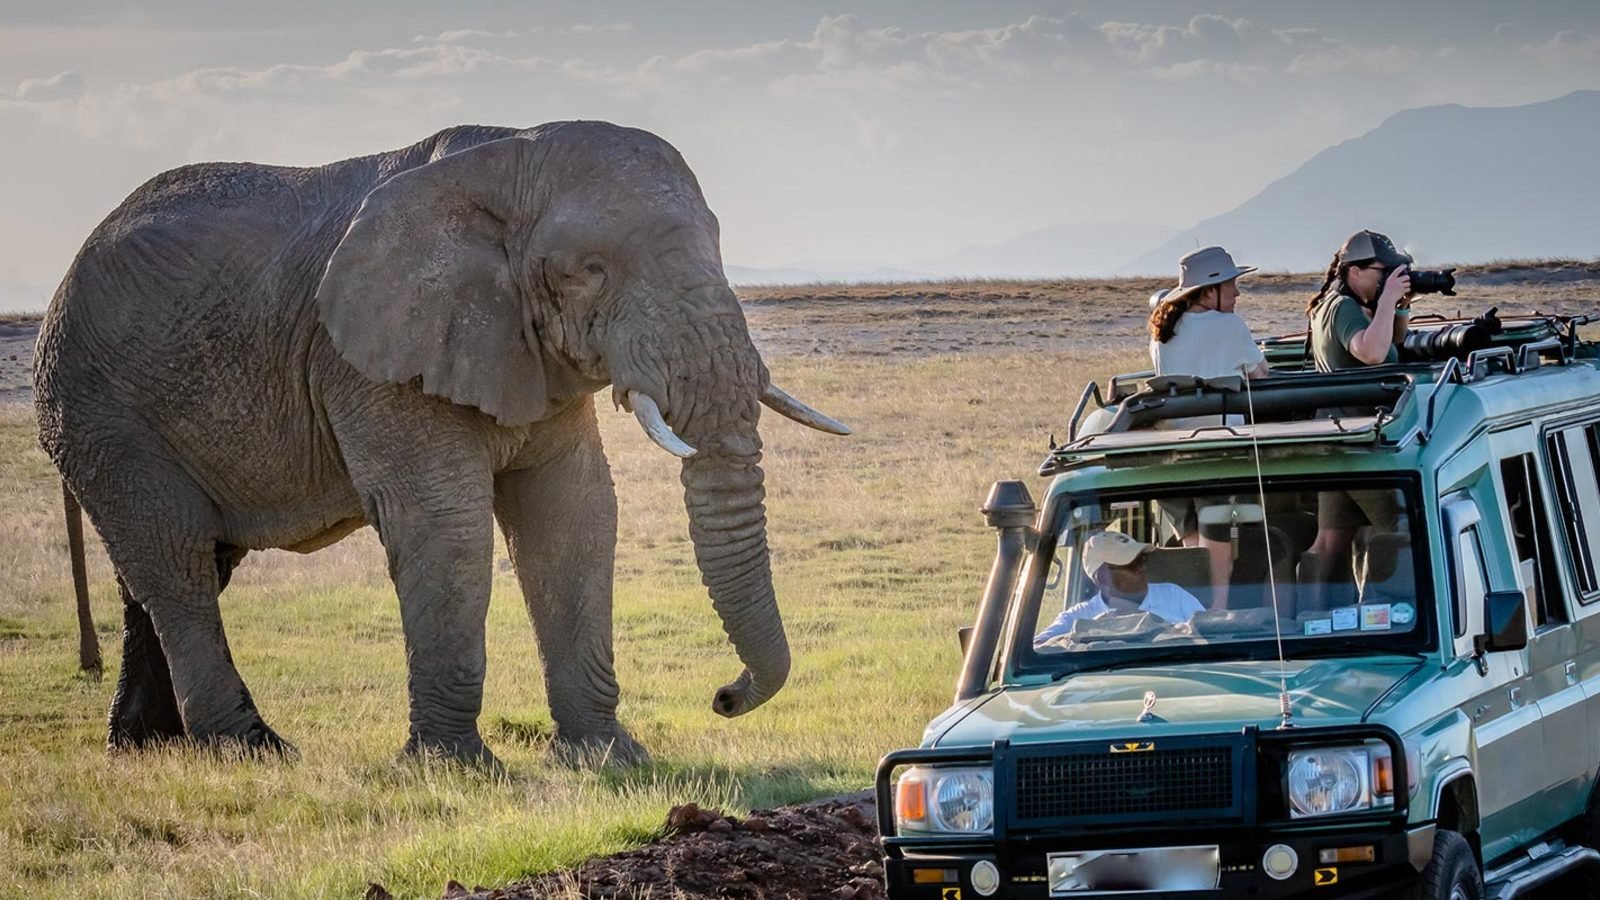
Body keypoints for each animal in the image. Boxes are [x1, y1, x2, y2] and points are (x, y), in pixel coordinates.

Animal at [33, 121, 848, 766]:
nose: (724, 696)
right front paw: (455, 768)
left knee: (183, 564)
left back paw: (143, 747)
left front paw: (608, 760)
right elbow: (444, 522)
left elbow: (573, 514)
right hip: (101, 411)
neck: (509, 156)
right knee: (177, 563)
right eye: (589, 272)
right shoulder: (371, 359)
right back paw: (252, 751)